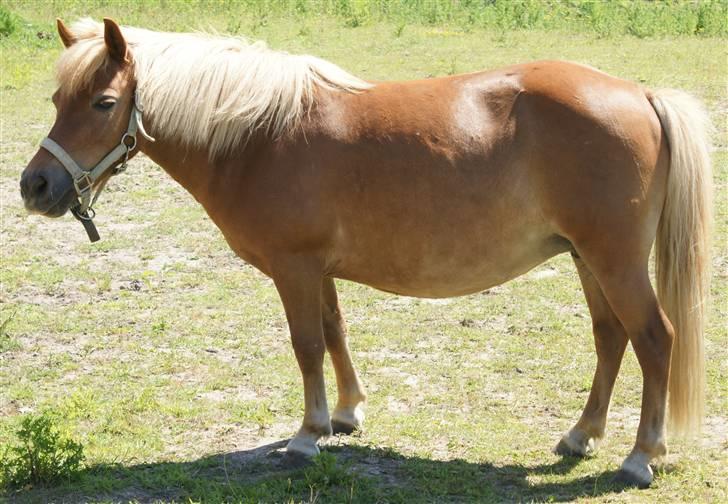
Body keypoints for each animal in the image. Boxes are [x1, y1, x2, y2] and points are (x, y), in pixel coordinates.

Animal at [18, 19, 712, 488]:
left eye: (104, 103)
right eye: (55, 100)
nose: (35, 187)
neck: (260, 134)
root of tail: (640, 94)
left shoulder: (294, 268)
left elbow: (305, 345)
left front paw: (307, 436)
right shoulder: (316, 270)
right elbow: (333, 331)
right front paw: (347, 414)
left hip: (614, 260)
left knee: (654, 339)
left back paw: (640, 457)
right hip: (585, 258)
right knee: (610, 337)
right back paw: (580, 436)